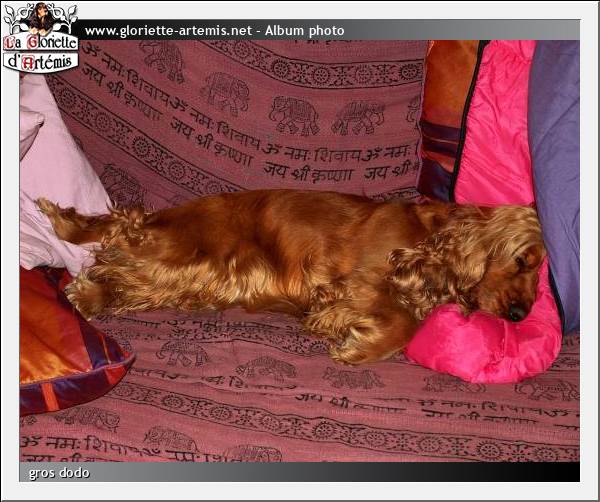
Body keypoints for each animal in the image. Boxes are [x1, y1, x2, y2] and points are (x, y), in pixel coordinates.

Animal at [36, 189, 545, 365]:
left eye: (541, 275)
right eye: (524, 260)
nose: (522, 314)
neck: (432, 235)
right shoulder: (363, 276)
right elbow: (404, 324)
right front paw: (358, 348)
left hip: (200, 277)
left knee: (128, 276)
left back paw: (88, 296)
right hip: (189, 254)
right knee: (122, 237)